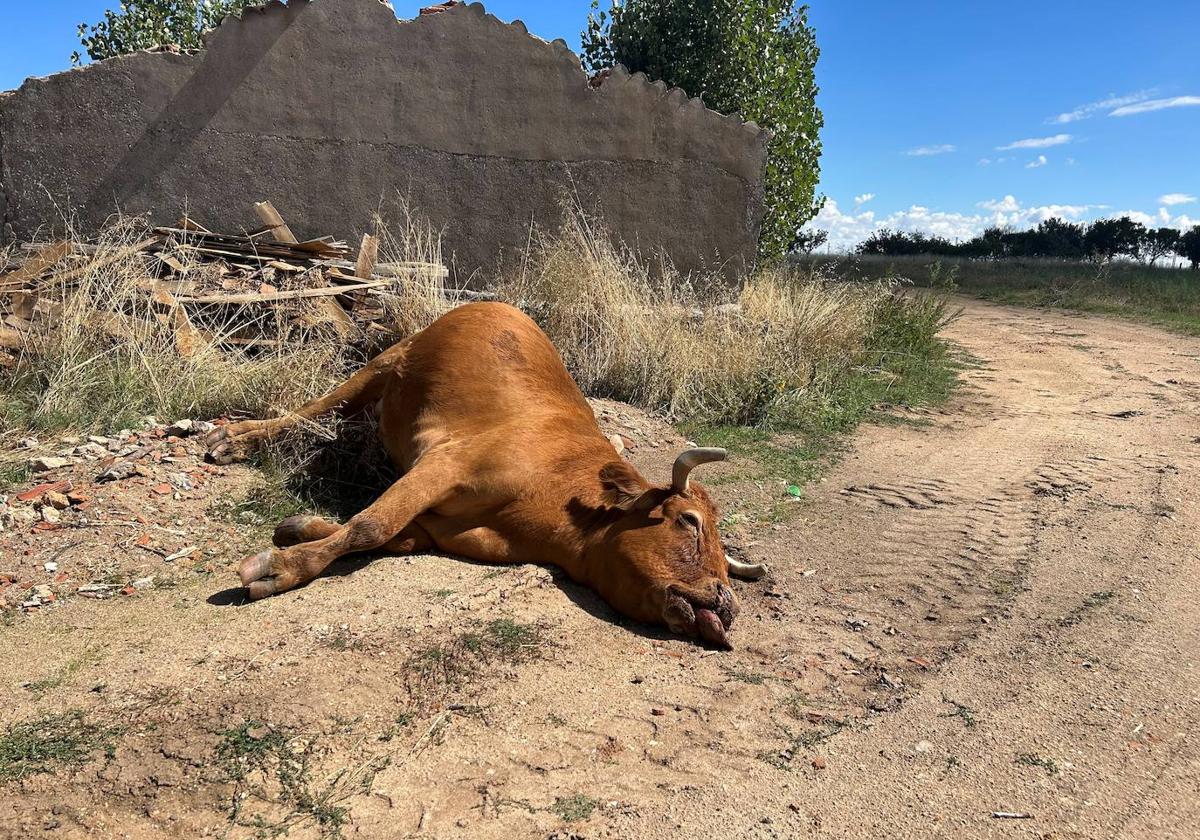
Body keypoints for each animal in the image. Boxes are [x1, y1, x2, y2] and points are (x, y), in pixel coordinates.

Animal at [206, 302, 768, 648]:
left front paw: (300, 530)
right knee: (312, 410)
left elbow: (383, 534)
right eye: (689, 522)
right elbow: (371, 525)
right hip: (385, 362)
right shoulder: (444, 463)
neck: (554, 499)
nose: (728, 603)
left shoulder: (439, 527)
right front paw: (281, 568)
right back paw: (235, 440)